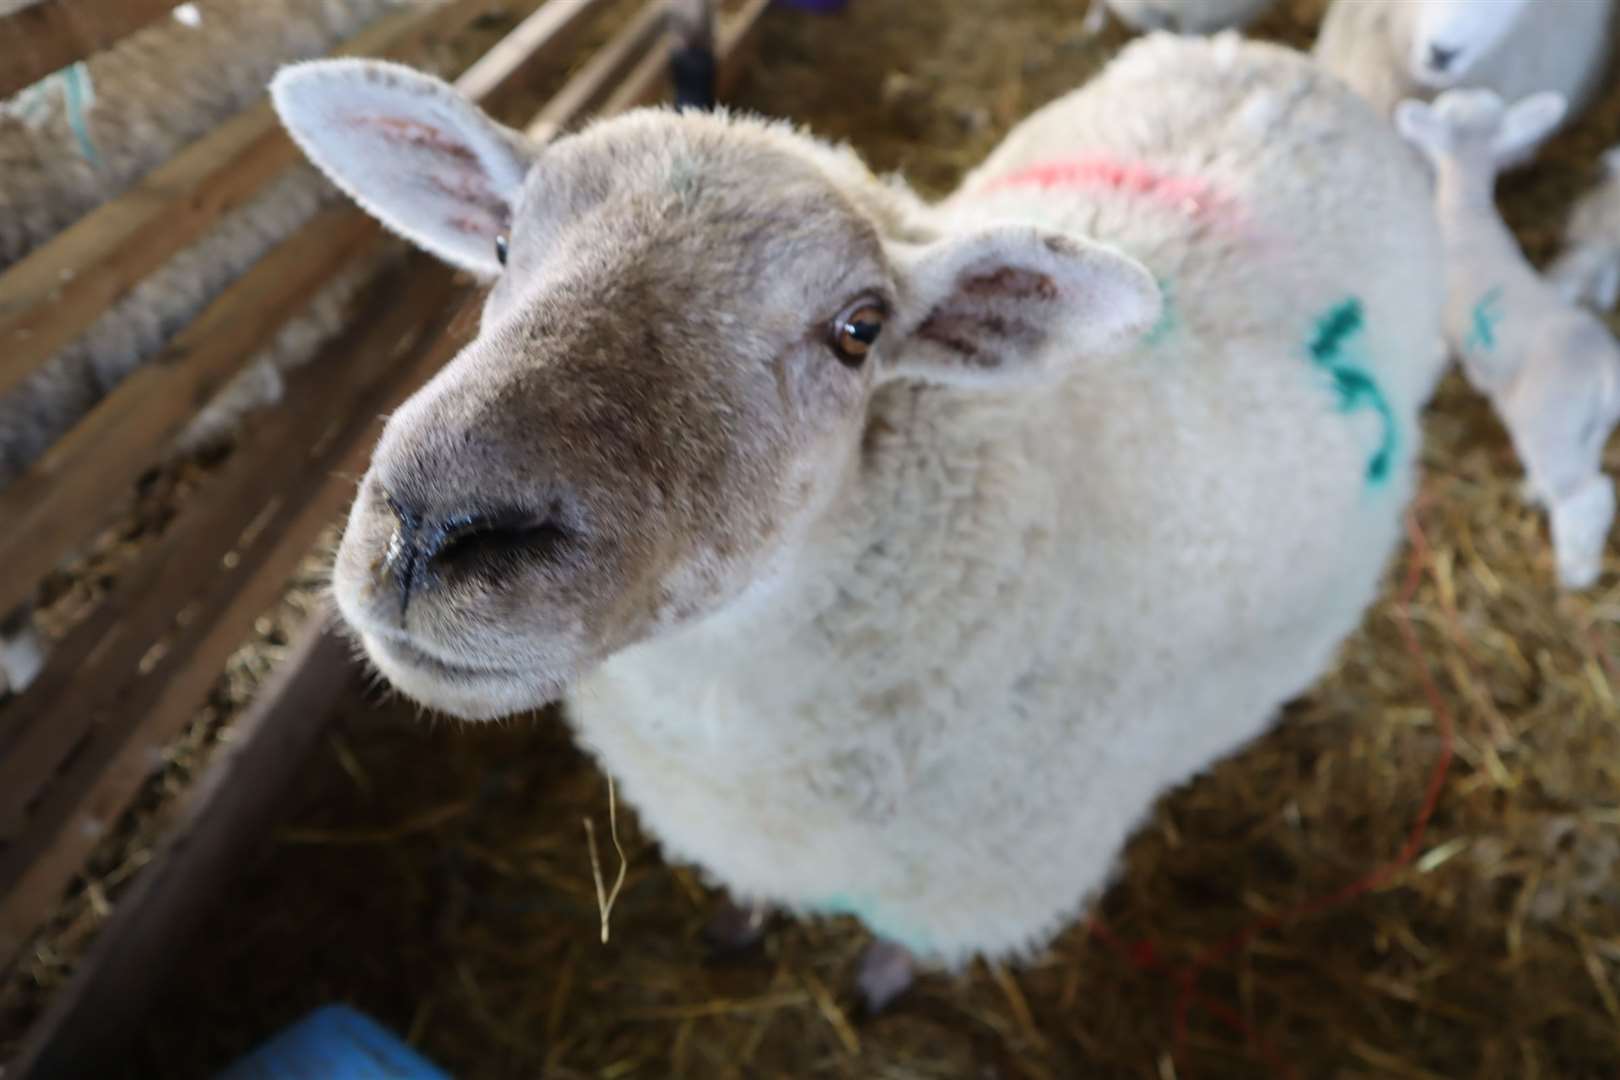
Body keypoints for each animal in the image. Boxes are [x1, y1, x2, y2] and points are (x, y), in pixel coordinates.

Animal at [275, 35, 1445, 1016]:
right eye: (502, 241)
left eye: (860, 330)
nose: (432, 528)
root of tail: (1293, 68)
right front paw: (740, 924)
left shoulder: (972, 882)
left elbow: (903, 944)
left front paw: (881, 981)